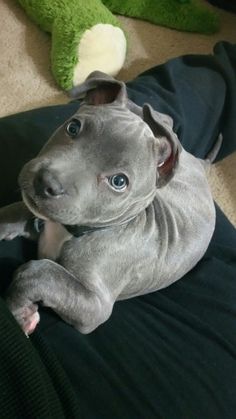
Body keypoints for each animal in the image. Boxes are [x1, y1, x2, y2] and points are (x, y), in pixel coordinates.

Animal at [0, 71, 216, 334]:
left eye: (119, 181)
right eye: (73, 127)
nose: (45, 182)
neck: (70, 231)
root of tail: (199, 164)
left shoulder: (95, 305)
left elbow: (39, 273)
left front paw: (19, 313)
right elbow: (10, 212)